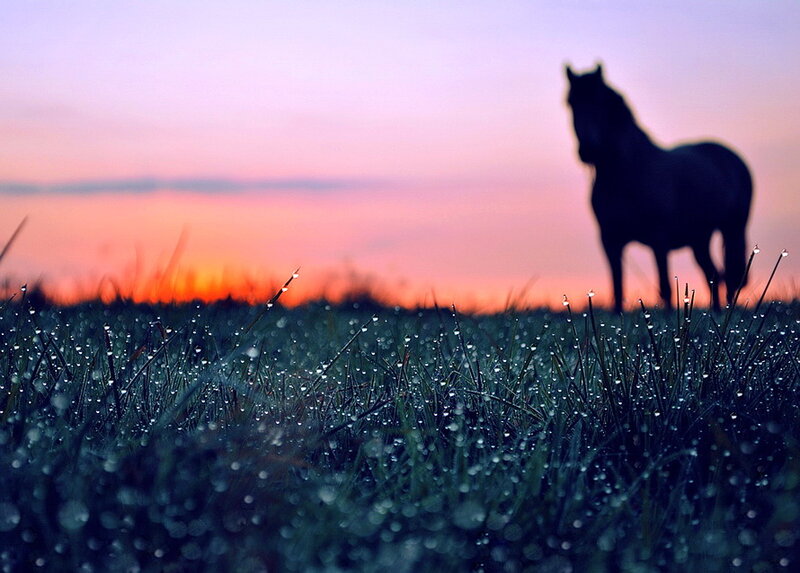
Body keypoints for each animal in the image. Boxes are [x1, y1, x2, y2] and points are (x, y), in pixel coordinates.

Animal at [565, 64, 752, 312]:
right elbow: (617, 286)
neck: (627, 172)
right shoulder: (610, 241)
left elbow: (664, 286)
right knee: (713, 274)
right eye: (571, 103)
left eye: (601, 101)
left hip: (733, 229)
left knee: (729, 274)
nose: (588, 150)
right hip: (699, 238)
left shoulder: (659, 239)